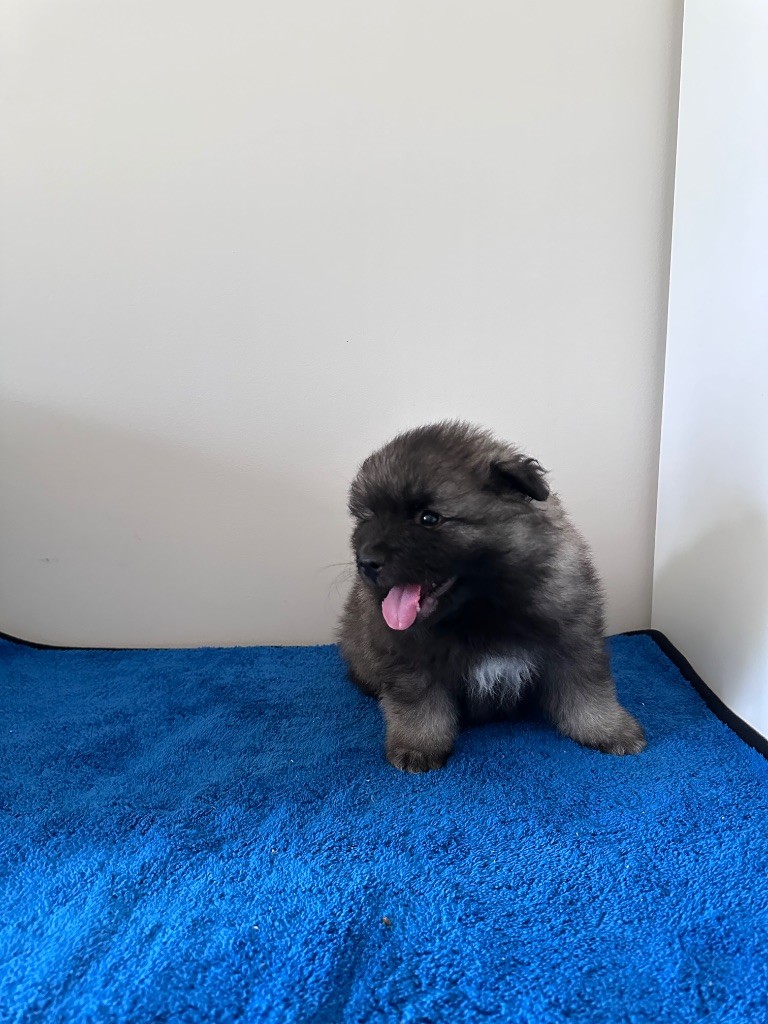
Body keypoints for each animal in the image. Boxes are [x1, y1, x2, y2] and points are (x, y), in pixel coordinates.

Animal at [337, 421, 646, 772]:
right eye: (366, 517)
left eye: (429, 518)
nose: (366, 561)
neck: (482, 606)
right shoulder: (408, 658)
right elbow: (418, 706)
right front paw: (418, 745)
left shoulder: (573, 638)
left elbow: (588, 691)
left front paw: (608, 729)